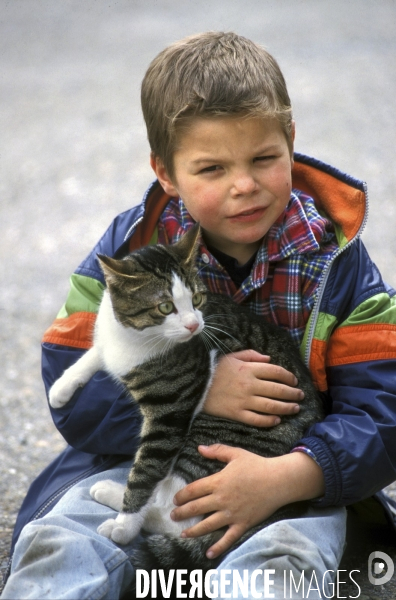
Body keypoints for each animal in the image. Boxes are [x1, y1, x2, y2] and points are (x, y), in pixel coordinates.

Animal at [48, 225, 324, 596]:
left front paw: (125, 525)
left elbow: (145, 472)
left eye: (196, 300)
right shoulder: (110, 344)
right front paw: (61, 388)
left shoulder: (169, 412)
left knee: (176, 514)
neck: (133, 338)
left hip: (211, 437)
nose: (195, 326)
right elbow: (95, 353)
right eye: (165, 306)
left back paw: (112, 497)